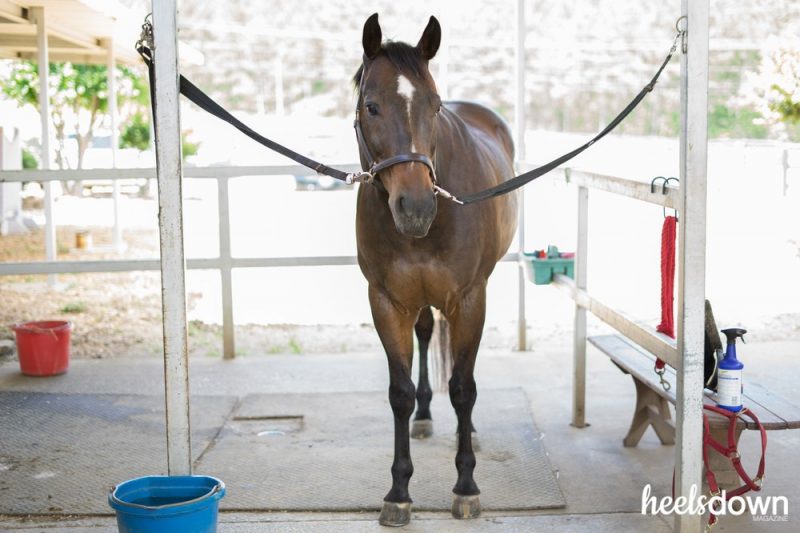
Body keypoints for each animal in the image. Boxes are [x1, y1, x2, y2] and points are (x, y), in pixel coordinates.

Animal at [353, 13, 519, 526]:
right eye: (371, 106)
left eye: (436, 105)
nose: (416, 207)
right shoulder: (386, 301)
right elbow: (399, 392)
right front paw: (398, 491)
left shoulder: (469, 299)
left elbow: (463, 389)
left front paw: (466, 486)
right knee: (427, 333)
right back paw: (425, 416)